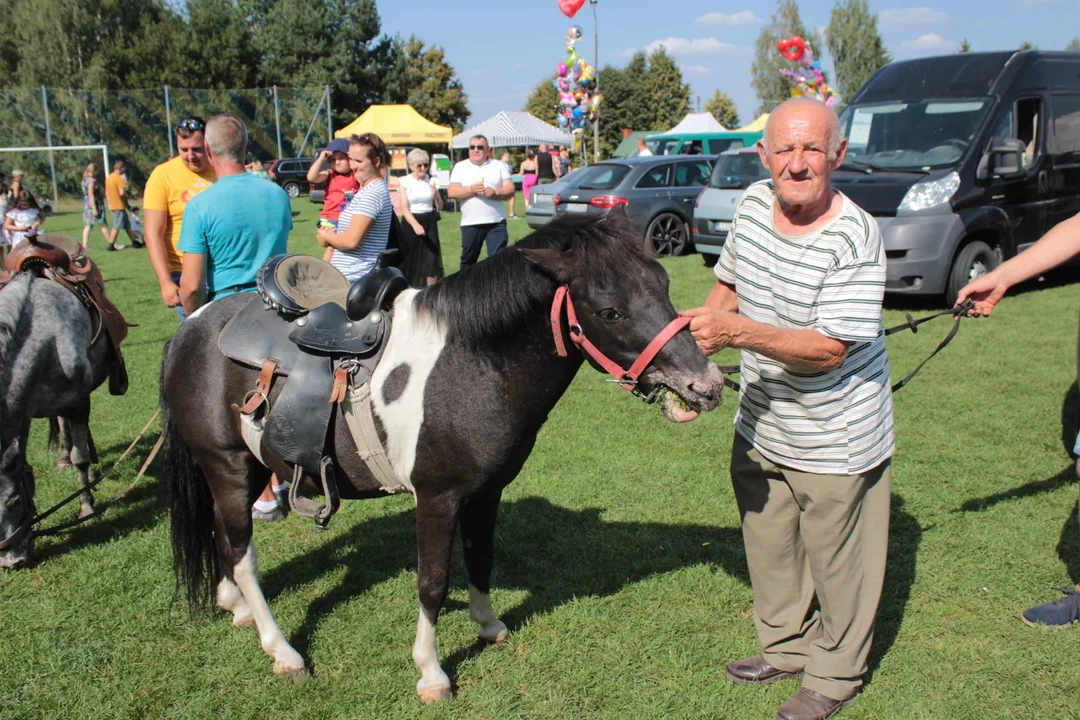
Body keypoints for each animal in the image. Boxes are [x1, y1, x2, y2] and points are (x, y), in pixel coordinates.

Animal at [164, 209, 725, 703]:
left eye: (664, 286)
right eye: (610, 311)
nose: (707, 386)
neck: (470, 361)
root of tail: (191, 328)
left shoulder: (485, 493)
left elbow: (481, 558)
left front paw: (489, 625)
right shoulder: (437, 499)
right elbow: (432, 583)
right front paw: (431, 674)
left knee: (223, 540)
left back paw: (236, 608)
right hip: (228, 467)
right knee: (242, 555)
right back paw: (282, 651)